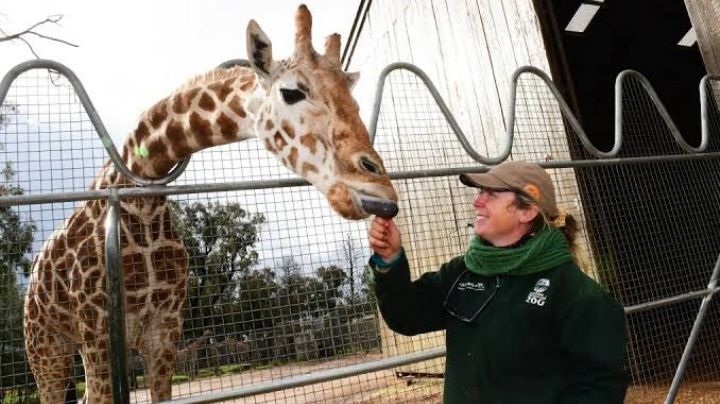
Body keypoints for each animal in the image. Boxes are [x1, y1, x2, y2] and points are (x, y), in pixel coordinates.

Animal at [22, 5, 398, 403]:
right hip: (46, 348)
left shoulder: (164, 332)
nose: (382, 192)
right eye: (292, 92)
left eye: (354, 101)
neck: (141, 205)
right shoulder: (98, 333)